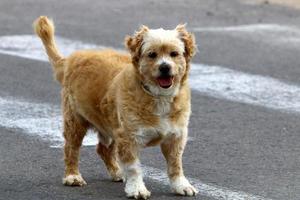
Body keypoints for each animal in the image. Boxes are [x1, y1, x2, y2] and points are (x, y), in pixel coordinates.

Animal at [33, 15, 197, 198]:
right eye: (152, 55)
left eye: (174, 54)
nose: (165, 67)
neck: (157, 96)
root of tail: (70, 59)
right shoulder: (129, 137)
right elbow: (133, 167)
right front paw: (137, 188)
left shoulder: (176, 136)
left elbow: (175, 165)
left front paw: (181, 185)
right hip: (75, 121)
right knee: (71, 148)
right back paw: (72, 176)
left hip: (109, 123)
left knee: (103, 149)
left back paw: (117, 172)